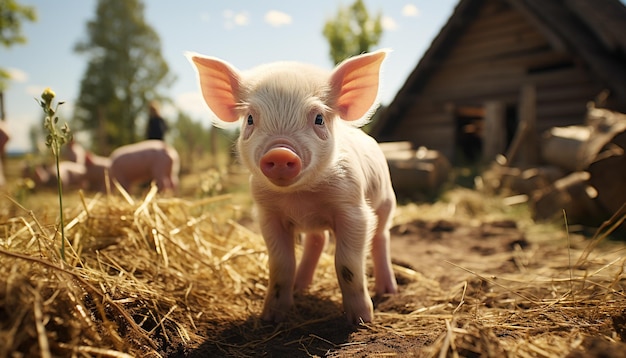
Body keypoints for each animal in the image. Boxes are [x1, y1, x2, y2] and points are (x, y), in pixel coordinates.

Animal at [188, 49, 398, 324]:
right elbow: (281, 265)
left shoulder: (354, 210)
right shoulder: (267, 214)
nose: (279, 151)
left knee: (381, 237)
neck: (300, 198)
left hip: (386, 202)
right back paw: (300, 287)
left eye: (319, 118)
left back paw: (388, 291)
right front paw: (271, 316)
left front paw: (360, 320)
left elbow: (347, 264)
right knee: (318, 239)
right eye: (250, 119)